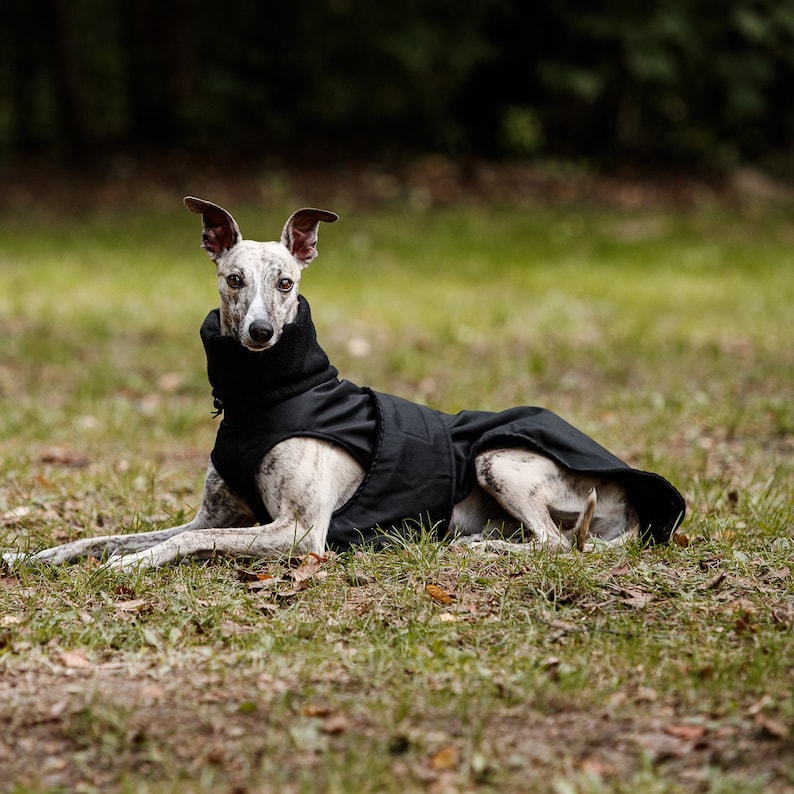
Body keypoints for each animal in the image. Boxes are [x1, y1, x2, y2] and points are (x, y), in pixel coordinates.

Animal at [1, 198, 680, 568]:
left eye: (285, 283)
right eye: (233, 279)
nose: (259, 334)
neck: (271, 394)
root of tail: (631, 509)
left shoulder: (300, 532)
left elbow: (184, 545)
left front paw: (132, 564)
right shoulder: (209, 516)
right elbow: (107, 537)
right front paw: (31, 555)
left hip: (500, 459)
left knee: (556, 544)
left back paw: (483, 551)